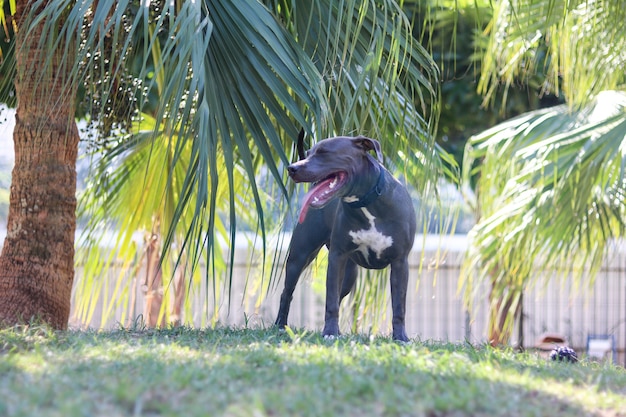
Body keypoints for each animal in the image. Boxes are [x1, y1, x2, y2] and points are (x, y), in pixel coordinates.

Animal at [272, 135, 414, 340]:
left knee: (339, 296)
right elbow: (330, 300)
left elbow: (399, 305)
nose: (292, 168)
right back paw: (280, 325)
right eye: (309, 153)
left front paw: (400, 337)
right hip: (299, 258)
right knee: (287, 293)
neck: (366, 202)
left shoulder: (400, 262)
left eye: (324, 152)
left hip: (349, 276)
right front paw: (330, 333)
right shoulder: (336, 258)